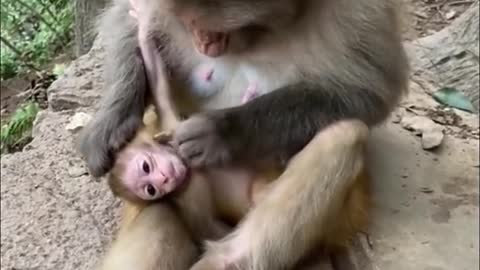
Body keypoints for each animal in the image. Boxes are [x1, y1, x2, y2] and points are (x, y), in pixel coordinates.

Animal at [81, 0, 408, 270]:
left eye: (216, 29)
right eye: (191, 24)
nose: (204, 41)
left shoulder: (361, 9)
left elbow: (370, 91)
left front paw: (222, 132)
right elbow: (129, 18)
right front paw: (112, 120)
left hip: (342, 215)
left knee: (343, 135)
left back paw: (226, 261)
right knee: (159, 214)